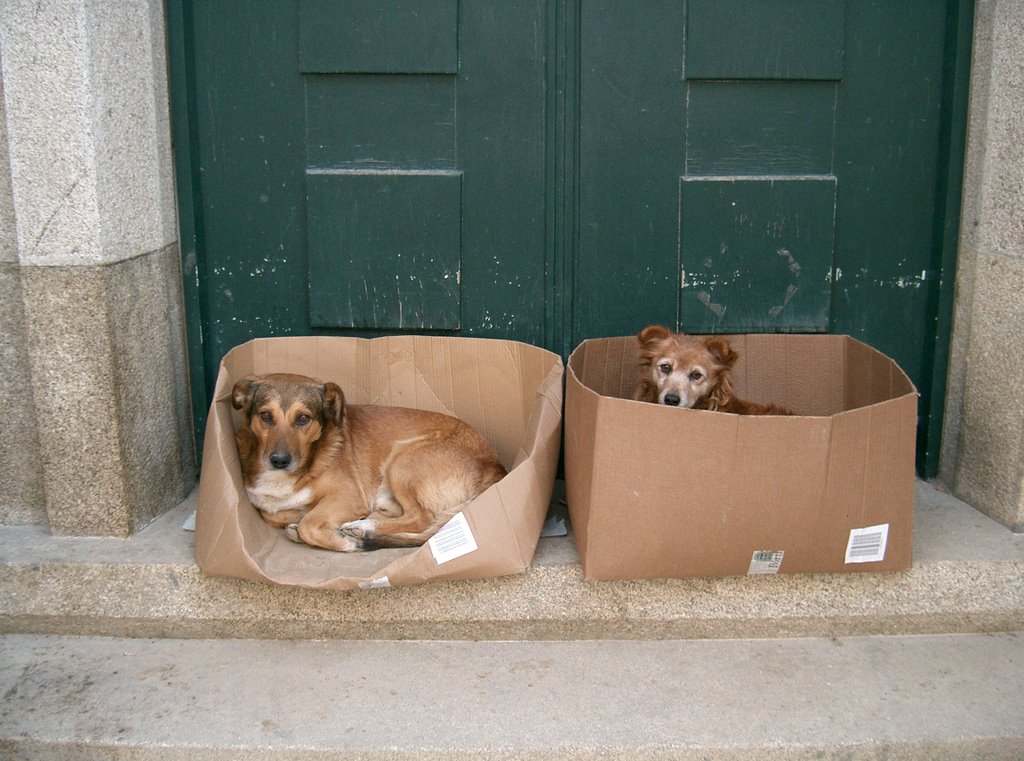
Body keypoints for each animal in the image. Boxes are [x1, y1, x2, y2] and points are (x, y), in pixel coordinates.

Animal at [230, 372, 505, 548]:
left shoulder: (349, 495)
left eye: (303, 418)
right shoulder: (270, 508)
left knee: (423, 517)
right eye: (266, 416)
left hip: (403, 461)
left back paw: (364, 530)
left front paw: (346, 542)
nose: (279, 461)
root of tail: (496, 468)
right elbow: (281, 515)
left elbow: (310, 522)